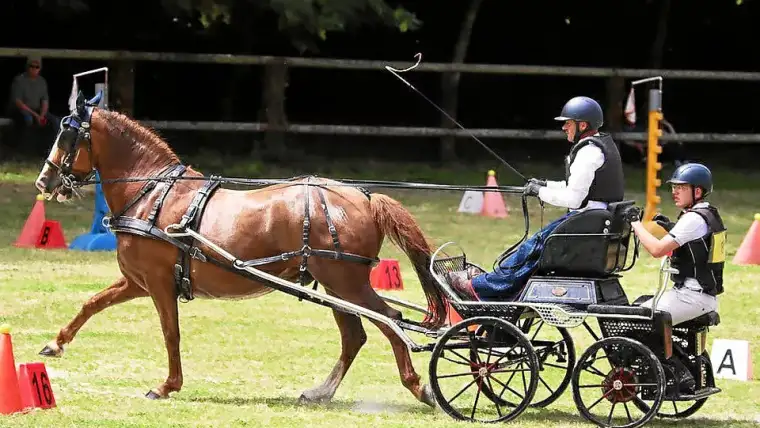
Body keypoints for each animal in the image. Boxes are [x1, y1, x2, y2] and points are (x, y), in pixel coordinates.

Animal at [33, 92, 447, 407]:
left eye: (66, 136)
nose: (44, 181)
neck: (152, 194)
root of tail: (364, 197)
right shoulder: (138, 281)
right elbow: (92, 303)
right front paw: (55, 345)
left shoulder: (159, 283)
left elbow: (170, 332)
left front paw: (167, 386)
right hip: (336, 286)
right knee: (355, 335)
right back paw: (321, 392)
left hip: (347, 283)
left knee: (389, 320)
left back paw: (419, 387)